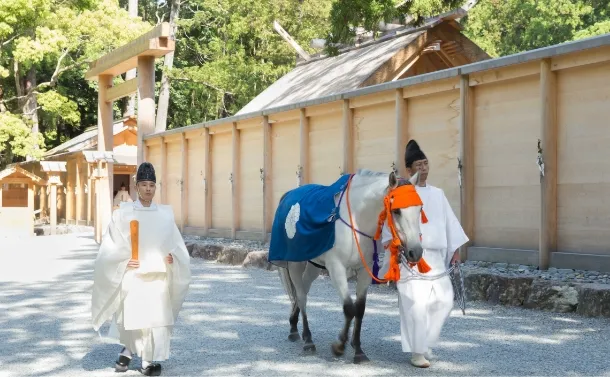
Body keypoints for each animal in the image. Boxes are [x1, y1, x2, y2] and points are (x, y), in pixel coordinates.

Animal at [268, 170, 426, 362]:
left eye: (419, 209)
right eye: (396, 211)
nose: (415, 252)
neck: (357, 221)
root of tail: (289, 195)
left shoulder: (364, 270)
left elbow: (360, 309)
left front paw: (358, 349)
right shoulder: (336, 268)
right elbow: (349, 308)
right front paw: (339, 346)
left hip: (314, 265)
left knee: (303, 290)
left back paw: (294, 326)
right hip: (295, 263)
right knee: (301, 295)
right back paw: (308, 339)